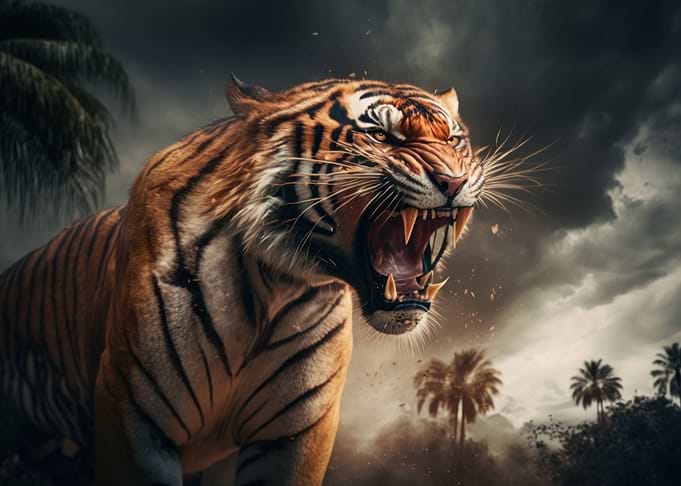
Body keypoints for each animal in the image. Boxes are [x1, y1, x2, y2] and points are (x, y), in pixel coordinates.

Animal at [0, 76, 484, 485]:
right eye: (381, 136)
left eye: (454, 140)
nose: (454, 180)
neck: (277, 283)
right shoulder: (132, 406)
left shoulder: (295, 430)